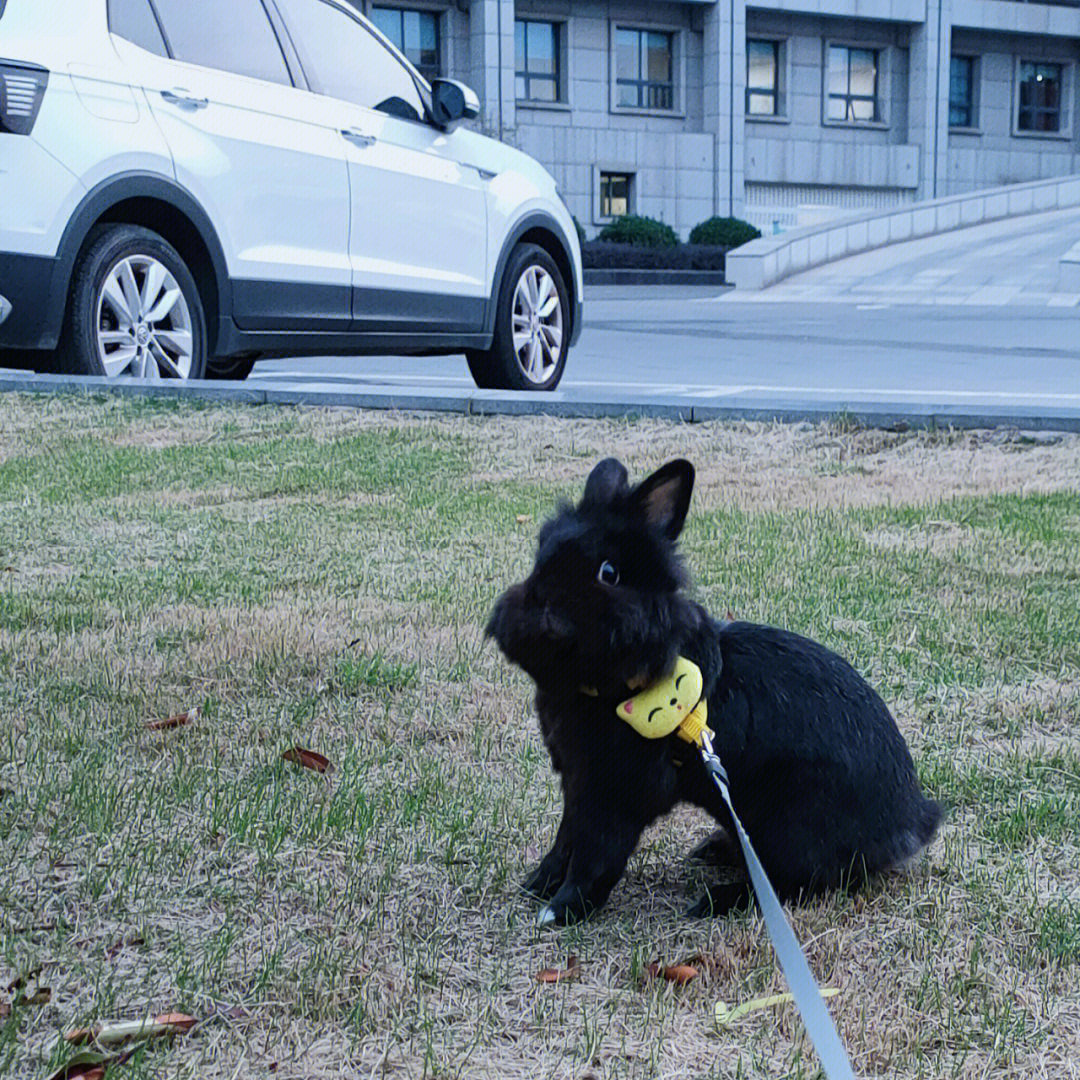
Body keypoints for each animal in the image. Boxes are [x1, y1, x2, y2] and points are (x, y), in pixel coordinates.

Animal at [486, 460, 941, 924]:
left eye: (607, 574)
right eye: (540, 556)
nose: (541, 607)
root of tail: (912, 825)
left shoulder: (615, 795)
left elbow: (594, 854)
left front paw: (562, 910)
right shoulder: (578, 784)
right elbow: (566, 839)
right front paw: (537, 885)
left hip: (789, 822)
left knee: (800, 884)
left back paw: (717, 899)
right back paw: (714, 850)